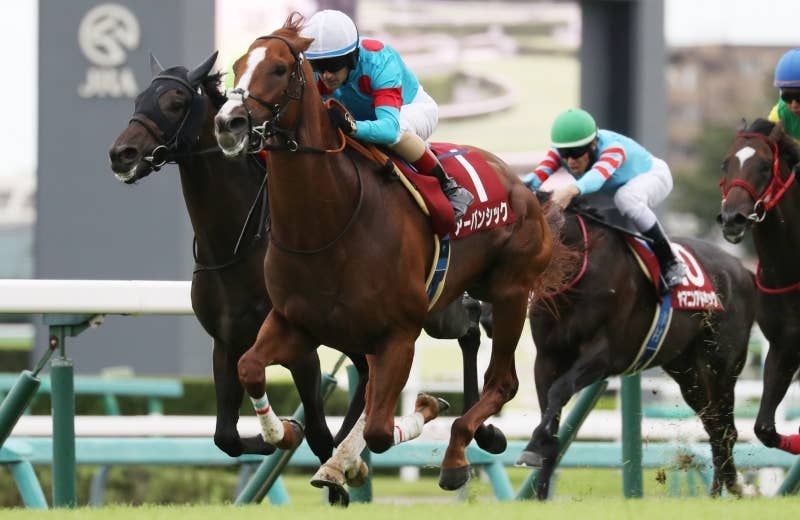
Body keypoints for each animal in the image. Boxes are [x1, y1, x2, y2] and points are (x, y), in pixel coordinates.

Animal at [212, 13, 563, 497]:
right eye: (238, 65)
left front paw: (425, 410)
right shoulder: (295, 322)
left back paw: (459, 452)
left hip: (511, 291)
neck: (328, 226)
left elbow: (380, 429)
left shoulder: (398, 334)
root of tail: (518, 183)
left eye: (280, 69)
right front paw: (282, 433)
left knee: (503, 381)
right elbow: (250, 367)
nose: (228, 123)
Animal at [481, 191, 756, 499]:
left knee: (725, 427)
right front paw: (540, 490)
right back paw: (726, 487)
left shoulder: (604, 356)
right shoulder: (547, 358)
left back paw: (724, 489)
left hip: (721, 365)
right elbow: (550, 409)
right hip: (688, 373)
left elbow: (559, 391)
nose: (489, 318)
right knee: (714, 424)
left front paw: (532, 449)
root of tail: (744, 269)